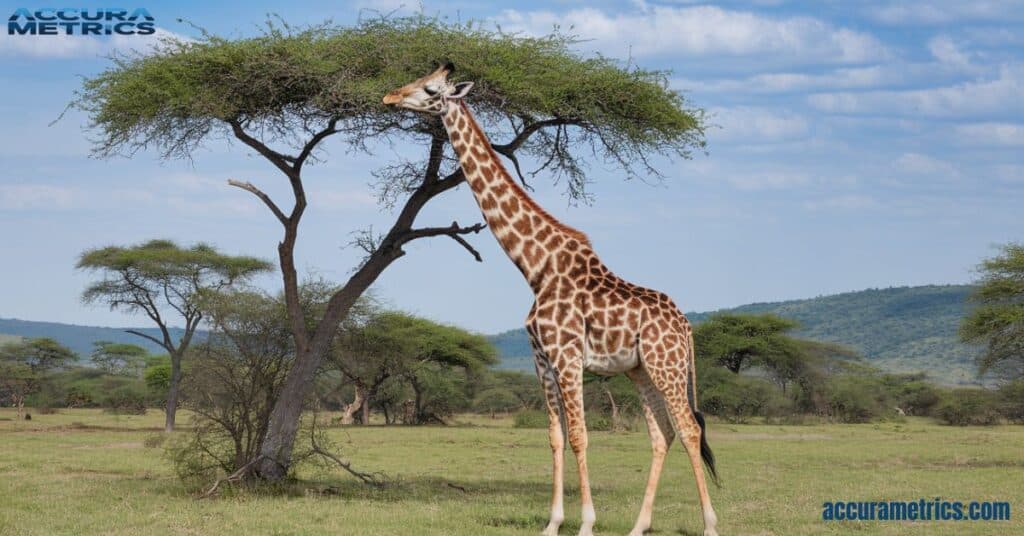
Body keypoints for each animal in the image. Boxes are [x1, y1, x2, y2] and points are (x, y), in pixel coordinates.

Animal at [385, 64, 720, 536]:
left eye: (430, 89)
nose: (390, 97)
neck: (536, 268)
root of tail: (686, 326)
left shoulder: (567, 355)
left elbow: (580, 436)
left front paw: (586, 523)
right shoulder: (541, 357)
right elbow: (555, 436)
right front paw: (553, 522)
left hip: (665, 365)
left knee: (689, 430)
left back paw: (709, 524)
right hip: (640, 370)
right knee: (662, 434)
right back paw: (638, 526)